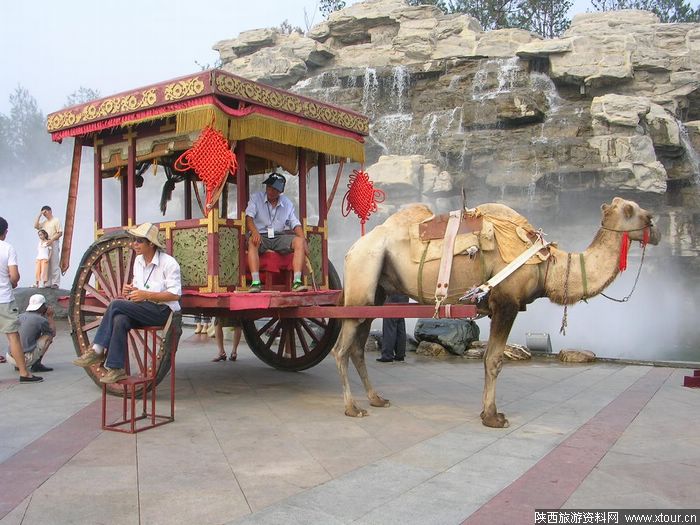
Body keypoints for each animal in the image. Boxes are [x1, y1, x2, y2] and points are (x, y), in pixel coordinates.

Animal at [332, 197, 660, 427]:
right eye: (631, 210)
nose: (655, 227)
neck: (547, 265)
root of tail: (351, 249)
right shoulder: (506, 304)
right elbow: (494, 360)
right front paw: (492, 417)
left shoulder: (496, 308)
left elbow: (489, 357)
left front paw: (486, 412)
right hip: (363, 273)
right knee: (341, 350)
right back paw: (351, 408)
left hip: (374, 294)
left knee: (357, 348)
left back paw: (376, 399)